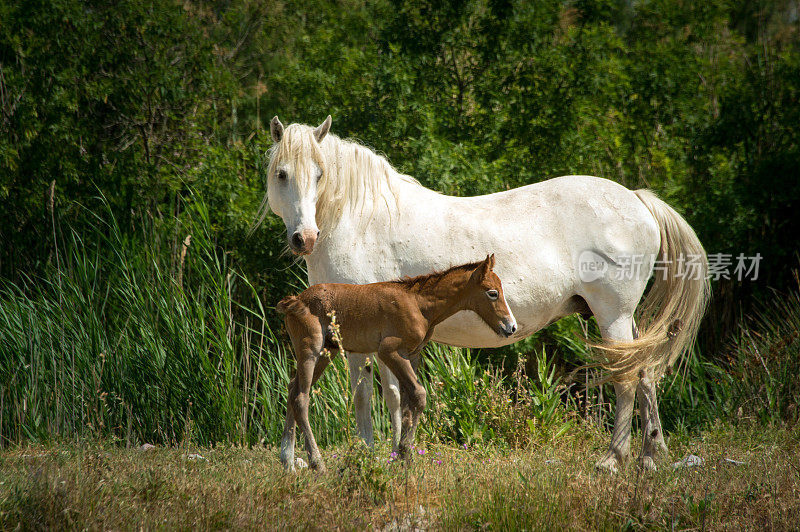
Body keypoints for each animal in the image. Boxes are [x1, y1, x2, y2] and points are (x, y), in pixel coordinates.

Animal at [276, 255, 516, 474]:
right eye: (492, 293)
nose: (511, 327)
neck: (420, 305)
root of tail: (294, 301)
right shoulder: (389, 351)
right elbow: (419, 395)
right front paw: (404, 452)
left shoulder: (412, 355)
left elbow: (408, 401)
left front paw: (403, 458)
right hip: (310, 349)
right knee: (301, 398)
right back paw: (317, 463)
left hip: (327, 352)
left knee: (292, 388)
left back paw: (288, 462)